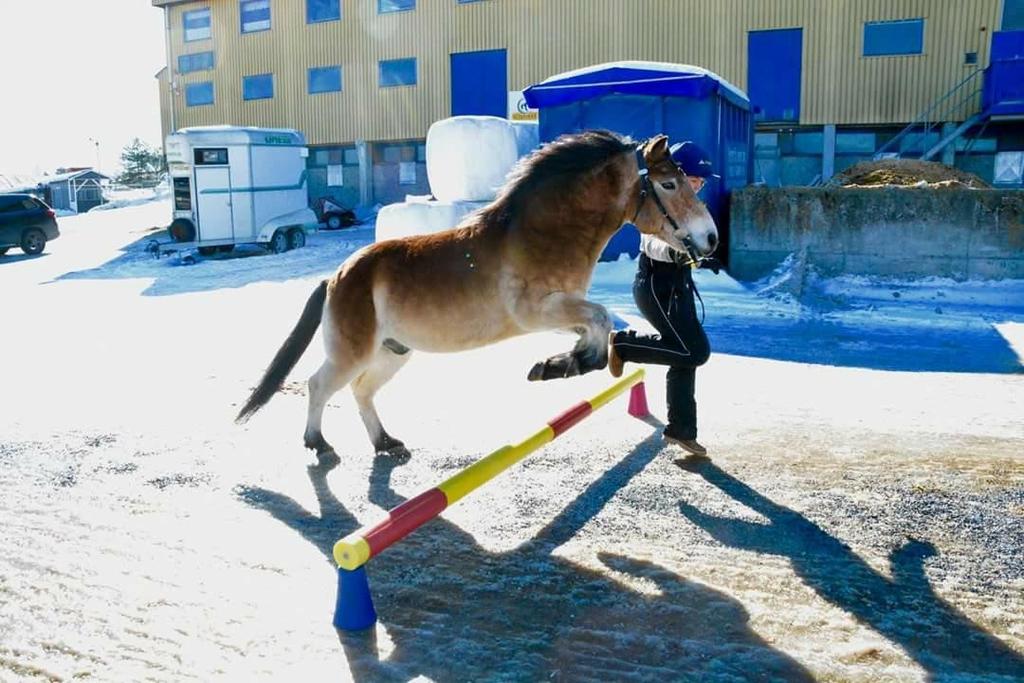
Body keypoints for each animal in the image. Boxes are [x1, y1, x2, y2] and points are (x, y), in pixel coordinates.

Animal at [237, 131, 720, 456]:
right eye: (669, 185)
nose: (711, 237)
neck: (542, 233)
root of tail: (338, 276)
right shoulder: (536, 312)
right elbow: (601, 320)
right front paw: (561, 366)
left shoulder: (561, 313)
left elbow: (599, 329)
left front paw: (562, 364)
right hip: (351, 353)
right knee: (319, 385)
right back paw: (317, 444)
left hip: (393, 352)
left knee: (362, 392)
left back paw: (386, 442)